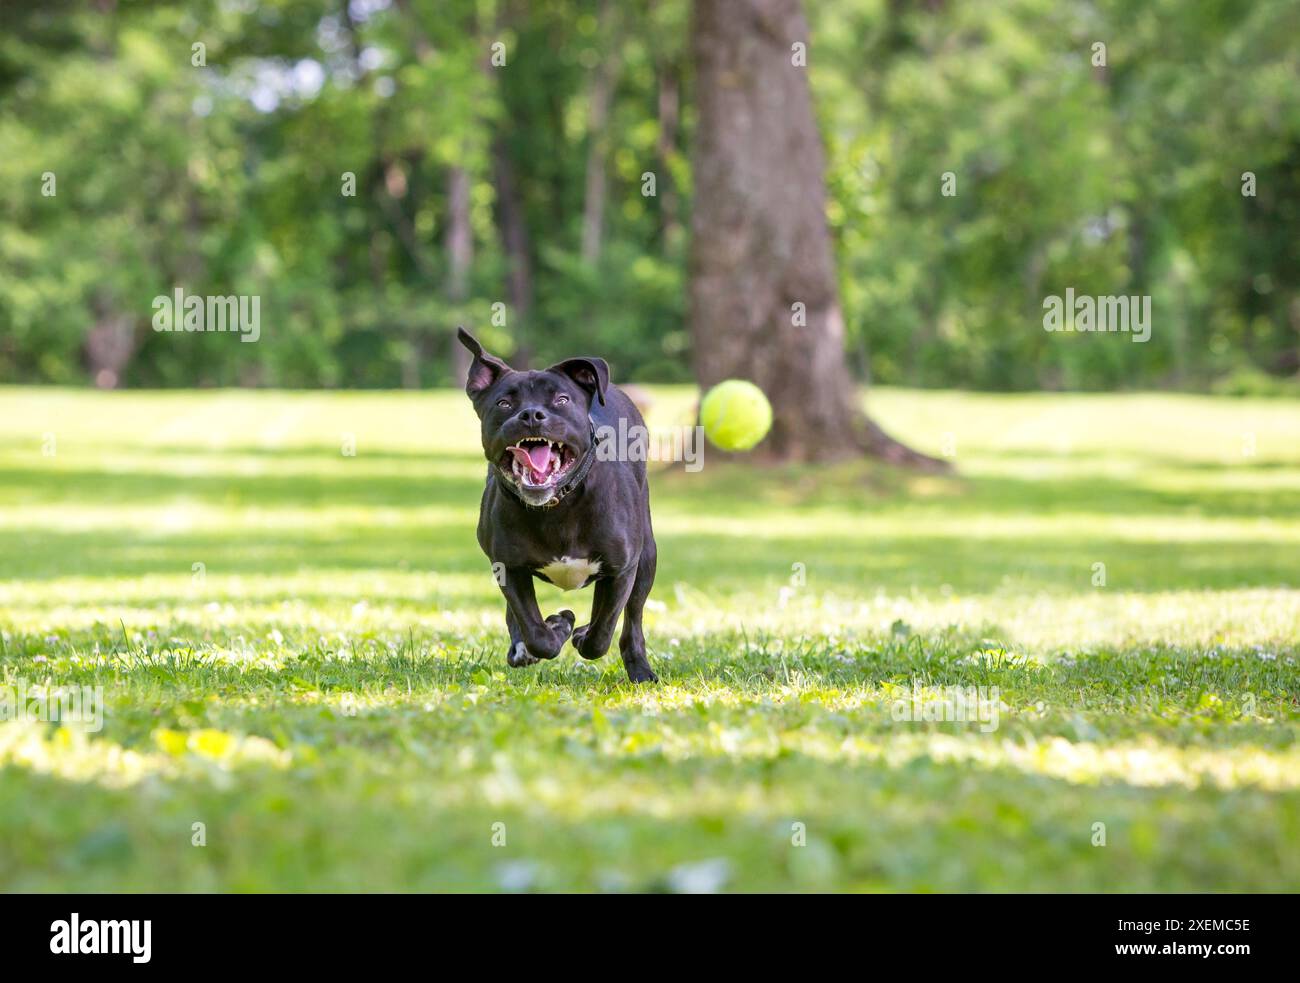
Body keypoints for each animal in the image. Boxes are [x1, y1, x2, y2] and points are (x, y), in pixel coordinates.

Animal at [460, 326, 660, 681]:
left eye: (561, 400)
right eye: (504, 402)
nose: (531, 414)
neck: (558, 506)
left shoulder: (622, 569)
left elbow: (601, 634)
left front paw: (579, 634)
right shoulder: (509, 567)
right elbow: (535, 632)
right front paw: (557, 626)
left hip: (647, 558)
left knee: (631, 620)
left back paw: (639, 669)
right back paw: (522, 649)